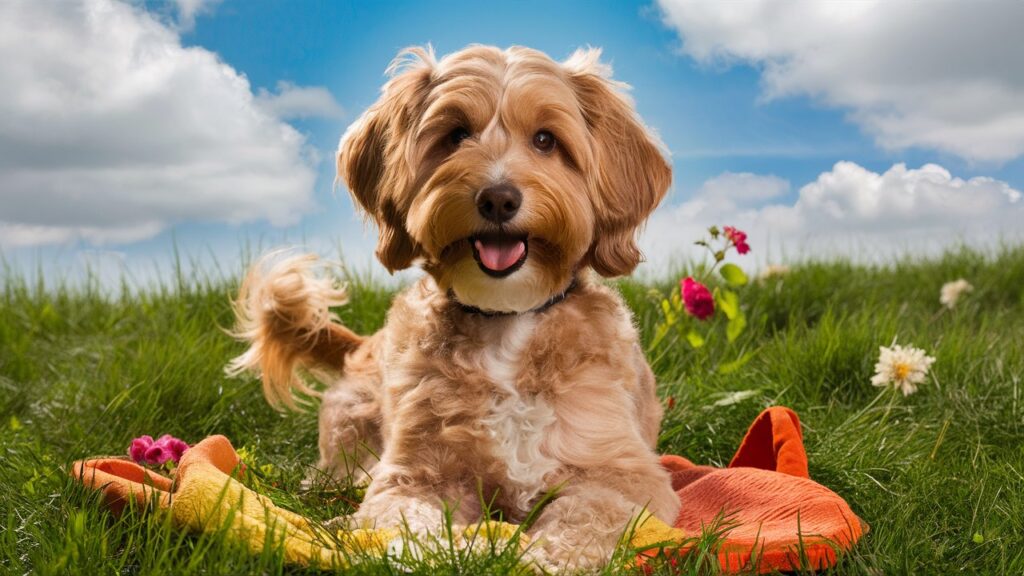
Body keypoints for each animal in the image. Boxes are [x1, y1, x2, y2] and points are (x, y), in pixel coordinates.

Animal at [232, 44, 679, 569]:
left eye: (546, 140)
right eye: (456, 135)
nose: (498, 198)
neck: (507, 321)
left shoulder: (623, 474)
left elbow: (580, 519)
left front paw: (536, 558)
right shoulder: (413, 475)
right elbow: (410, 521)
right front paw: (451, 551)